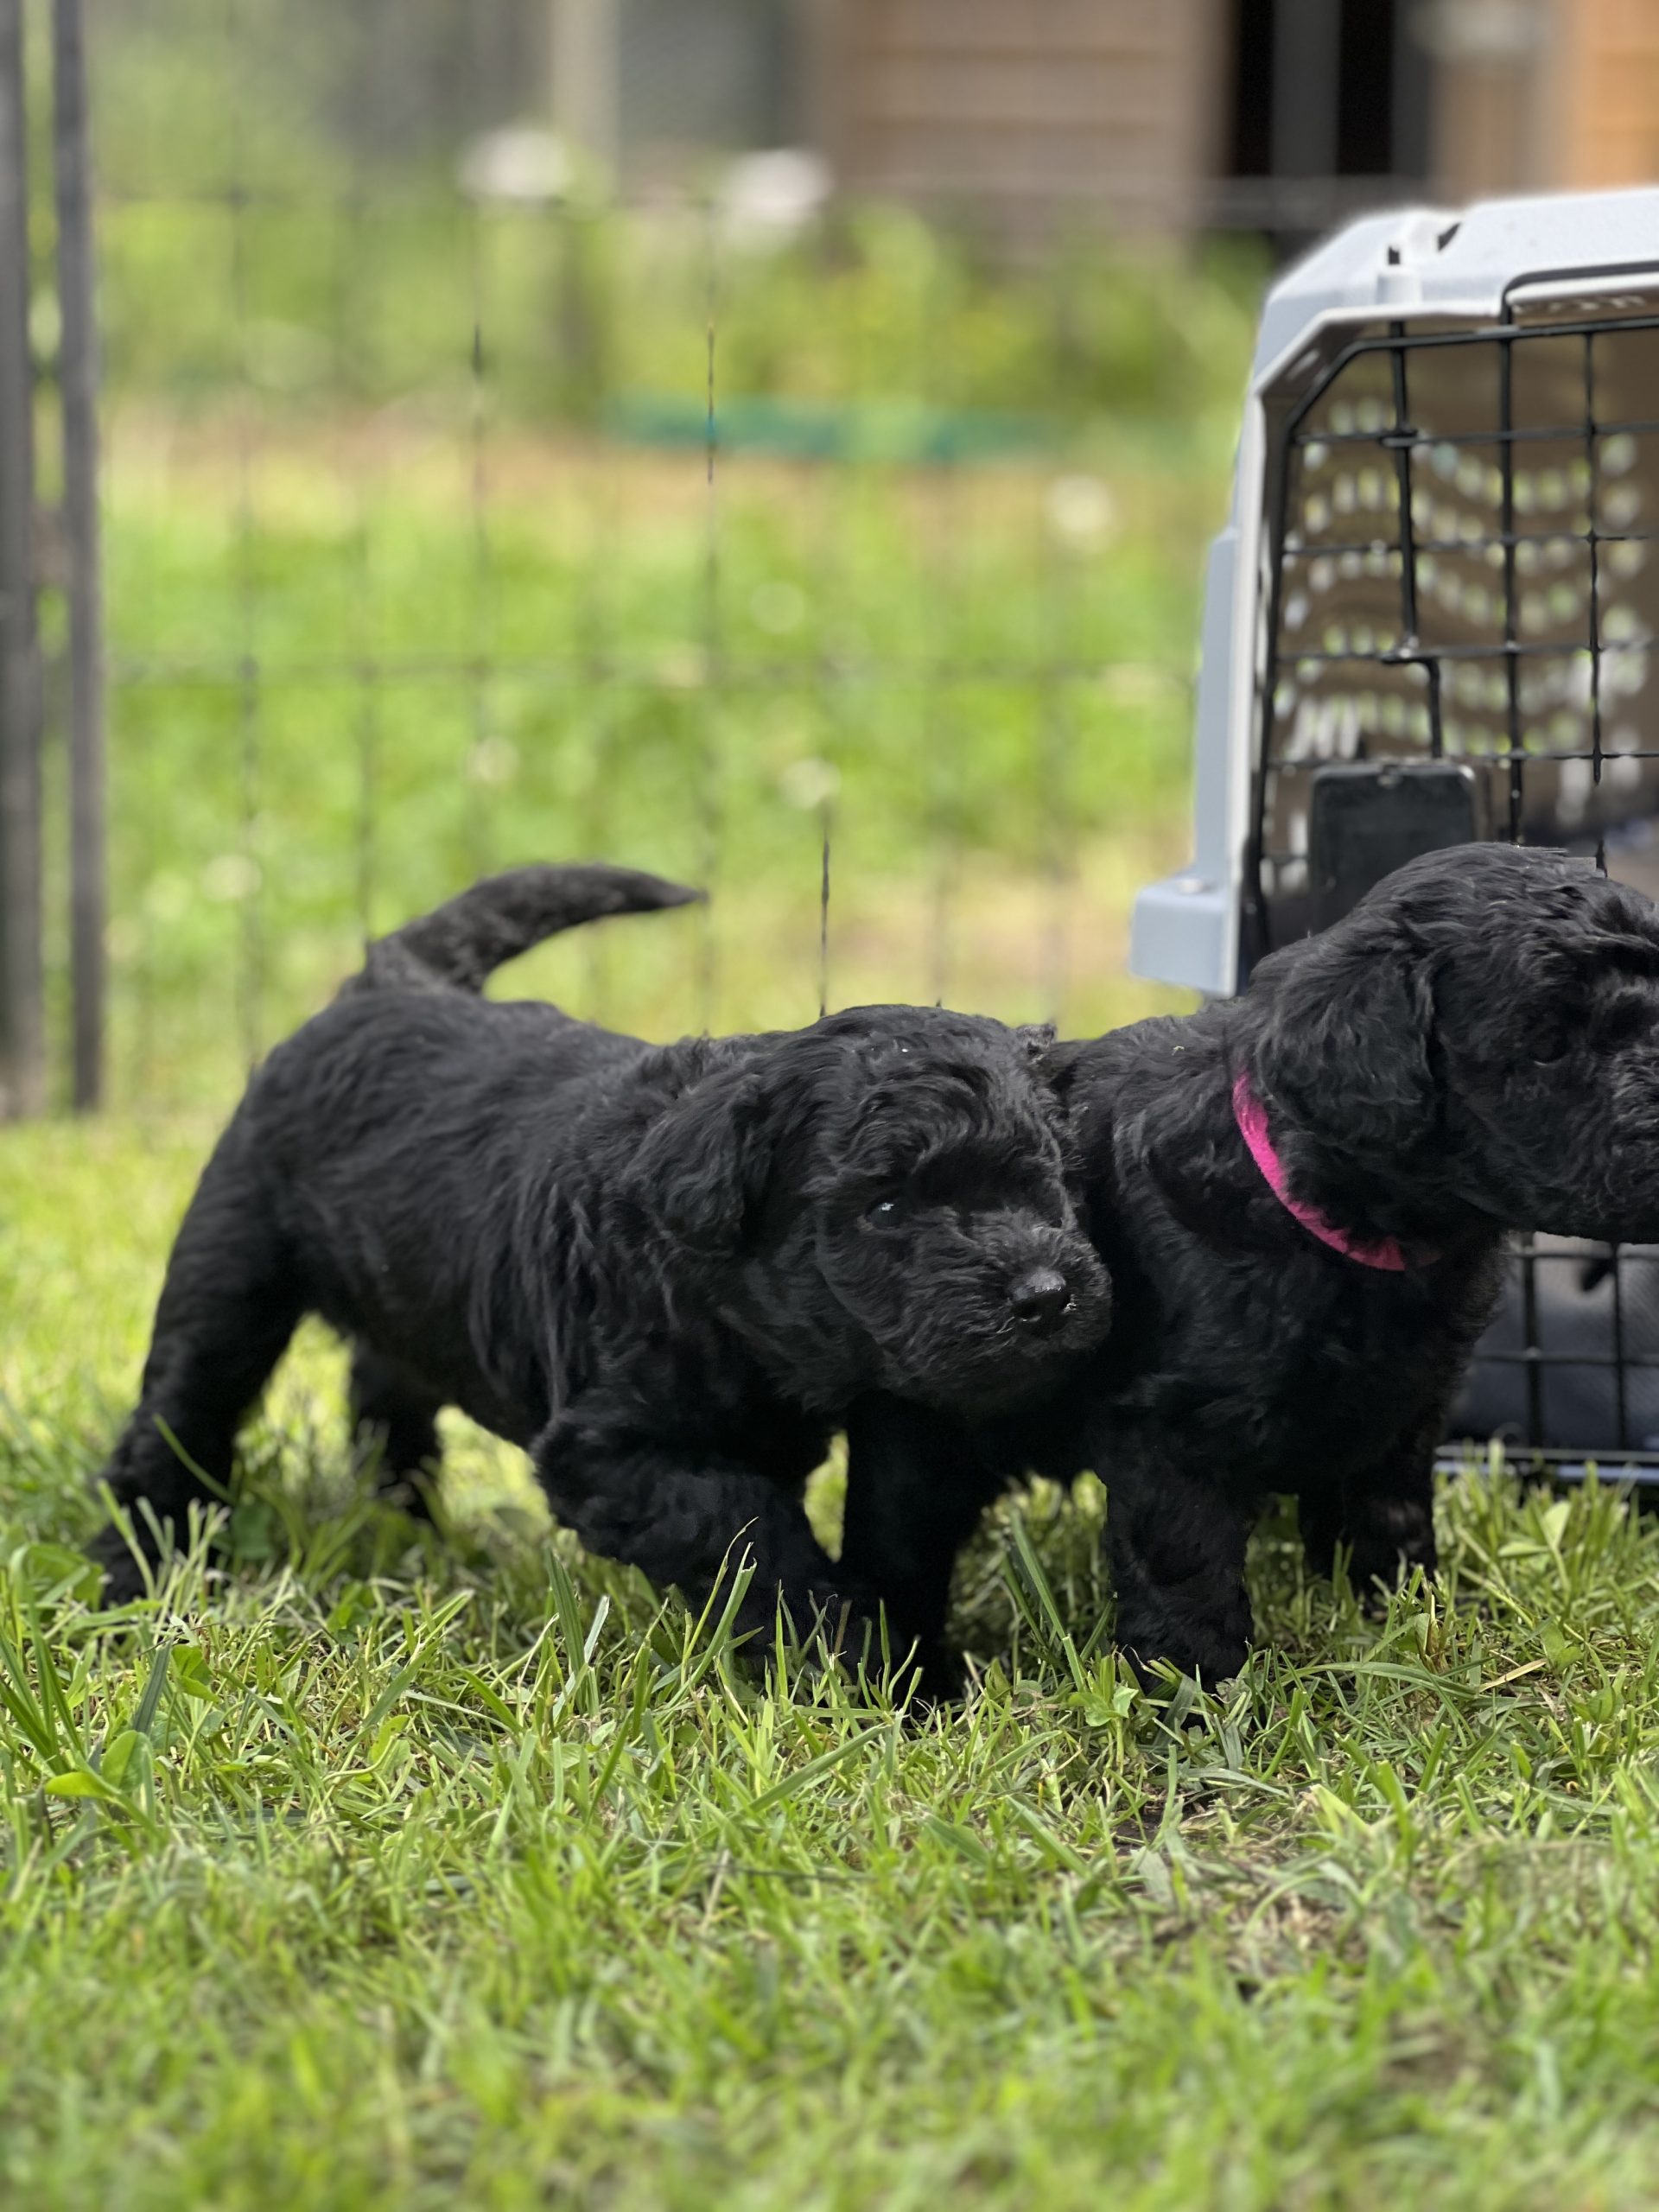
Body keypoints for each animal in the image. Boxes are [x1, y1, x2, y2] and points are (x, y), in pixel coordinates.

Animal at [91, 862, 1111, 1651]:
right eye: (887, 1205)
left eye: (1043, 1176)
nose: (1044, 1295)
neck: (723, 1300)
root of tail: (390, 982)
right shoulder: (603, 1450)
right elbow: (743, 1529)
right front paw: (841, 1647)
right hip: (229, 1268)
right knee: (177, 1421)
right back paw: (130, 1587)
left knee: (387, 1395)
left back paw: (410, 1529)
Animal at [840, 844, 1659, 1685]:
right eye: (1547, 1044)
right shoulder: (1168, 1430)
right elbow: (1186, 1561)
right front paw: (1197, 1690)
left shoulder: (1403, 1402)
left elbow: (1389, 1510)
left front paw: (1407, 1614)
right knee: (894, 1549)